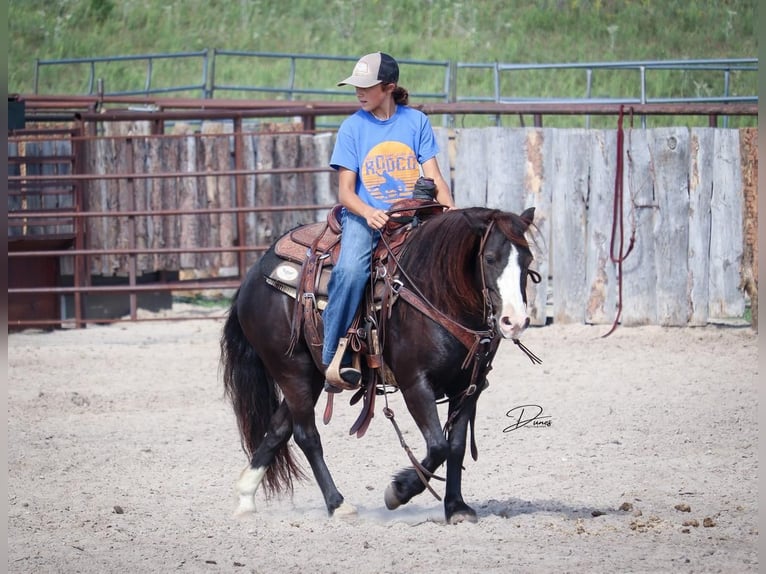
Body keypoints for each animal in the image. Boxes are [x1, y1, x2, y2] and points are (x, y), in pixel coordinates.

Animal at [219, 207, 536, 528]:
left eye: (528, 260)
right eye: (490, 258)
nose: (515, 321)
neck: (438, 294)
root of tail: (253, 277)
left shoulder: (469, 387)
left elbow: (456, 447)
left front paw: (456, 507)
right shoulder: (415, 383)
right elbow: (438, 446)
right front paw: (398, 491)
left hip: (310, 376)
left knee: (278, 428)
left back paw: (246, 498)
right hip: (292, 370)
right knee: (306, 435)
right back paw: (338, 504)